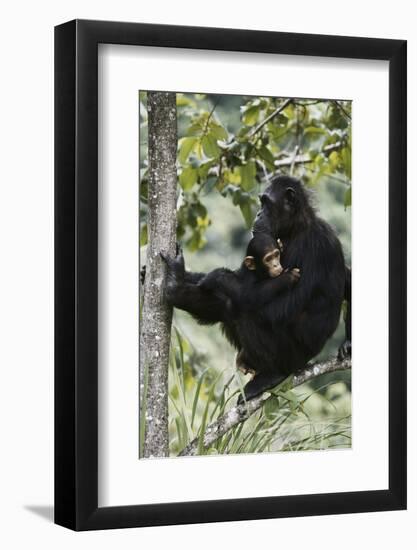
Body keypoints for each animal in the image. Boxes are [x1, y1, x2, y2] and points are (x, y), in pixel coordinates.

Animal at [161, 176, 350, 402]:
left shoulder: (311, 248)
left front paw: (216, 276)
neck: (297, 228)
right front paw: (181, 273)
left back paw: (270, 376)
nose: (259, 213)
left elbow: (278, 309)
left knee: (242, 310)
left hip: (290, 358)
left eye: (266, 203)